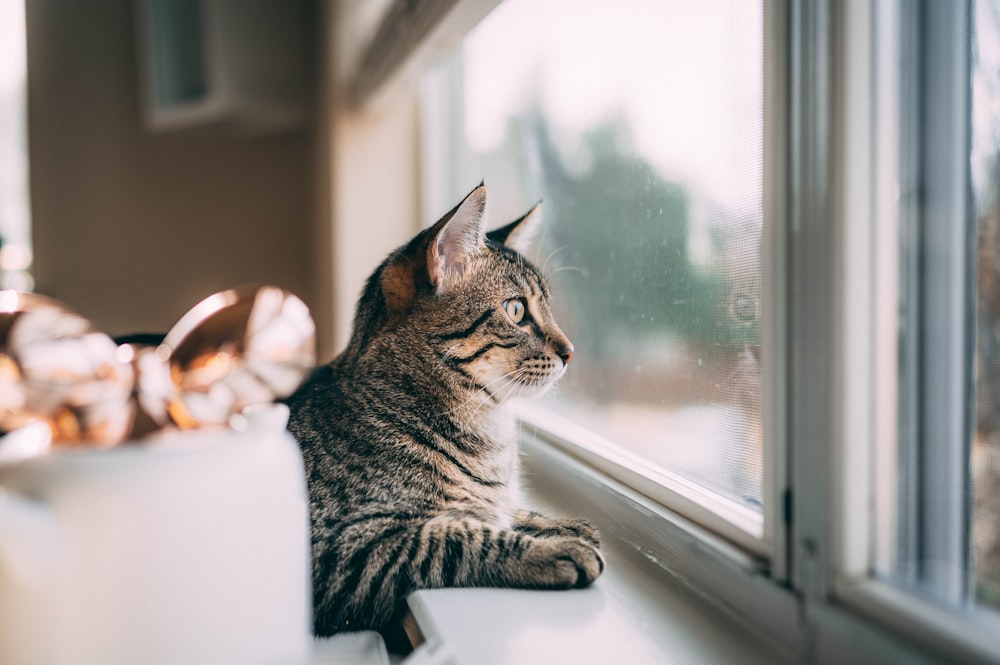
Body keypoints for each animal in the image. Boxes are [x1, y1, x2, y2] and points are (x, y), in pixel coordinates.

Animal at [286, 183, 604, 640]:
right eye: (516, 310)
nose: (570, 351)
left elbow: (499, 512)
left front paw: (553, 522)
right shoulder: (338, 553)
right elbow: (457, 537)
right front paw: (553, 548)